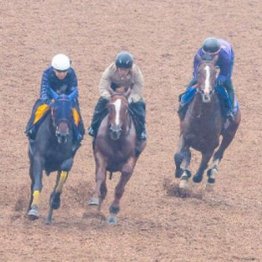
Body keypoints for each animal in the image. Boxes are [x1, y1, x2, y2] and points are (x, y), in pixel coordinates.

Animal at [88, 87, 146, 224]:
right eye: (109, 107)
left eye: (126, 108)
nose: (115, 130)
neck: (117, 141)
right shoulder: (100, 155)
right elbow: (100, 176)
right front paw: (94, 201)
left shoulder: (131, 160)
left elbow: (120, 186)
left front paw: (113, 212)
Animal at [174, 55, 242, 190]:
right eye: (199, 72)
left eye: (215, 73)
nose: (206, 93)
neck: (201, 119)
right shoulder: (185, 135)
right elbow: (179, 156)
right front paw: (181, 173)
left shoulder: (211, 145)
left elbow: (201, 170)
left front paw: (194, 175)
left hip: (230, 134)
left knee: (219, 153)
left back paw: (211, 176)